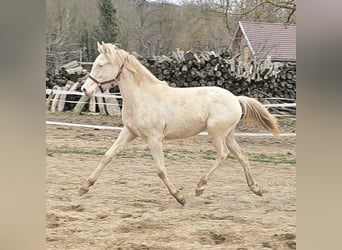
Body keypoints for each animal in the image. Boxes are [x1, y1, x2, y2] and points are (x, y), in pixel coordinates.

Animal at [80, 41, 280, 205]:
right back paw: (255, 188)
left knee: (223, 154)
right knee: (242, 155)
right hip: (228, 134)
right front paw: (84, 186)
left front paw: (179, 197)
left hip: (216, 133)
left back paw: (200, 187)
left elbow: (160, 170)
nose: (85, 89)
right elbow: (108, 156)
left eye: (100, 65)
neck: (143, 97)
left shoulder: (154, 138)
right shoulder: (129, 131)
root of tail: (236, 99)